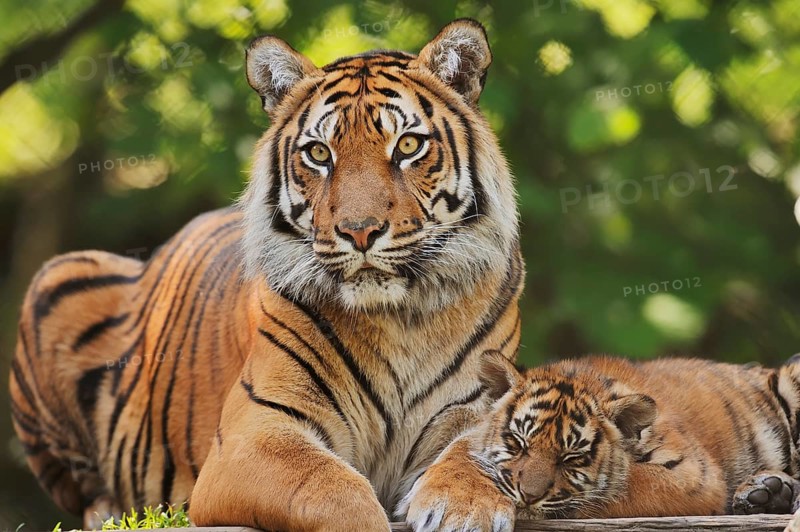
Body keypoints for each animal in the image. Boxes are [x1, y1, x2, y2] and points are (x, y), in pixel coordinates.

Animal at [10, 19, 526, 532]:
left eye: (408, 145)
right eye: (319, 153)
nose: (359, 231)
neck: (397, 318)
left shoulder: (481, 406)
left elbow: (475, 454)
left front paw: (466, 508)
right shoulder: (254, 434)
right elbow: (335, 491)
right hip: (59, 274)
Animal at [470, 350, 800, 520]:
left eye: (571, 458)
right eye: (518, 442)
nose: (528, 496)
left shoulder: (697, 477)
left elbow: (625, 484)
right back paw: (768, 493)